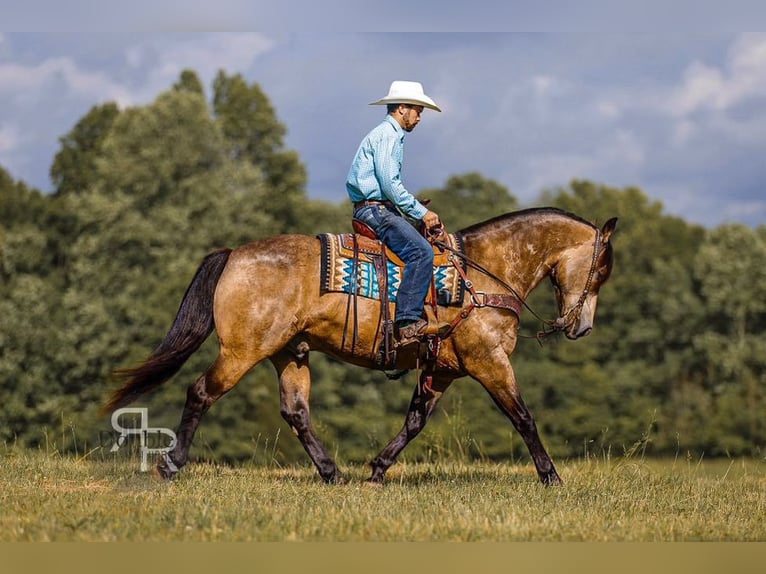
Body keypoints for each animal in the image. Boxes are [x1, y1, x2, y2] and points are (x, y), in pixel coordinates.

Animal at [103, 207, 616, 486]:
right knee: (201, 392)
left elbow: (414, 423)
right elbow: (523, 416)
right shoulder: (488, 361)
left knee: (296, 412)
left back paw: (333, 473)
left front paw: (377, 469)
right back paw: (171, 465)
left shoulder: (443, 369)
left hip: (290, 353)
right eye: (601, 269)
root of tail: (234, 254)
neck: (481, 274)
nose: (583, 328)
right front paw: (551, 476)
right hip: (242, 351)